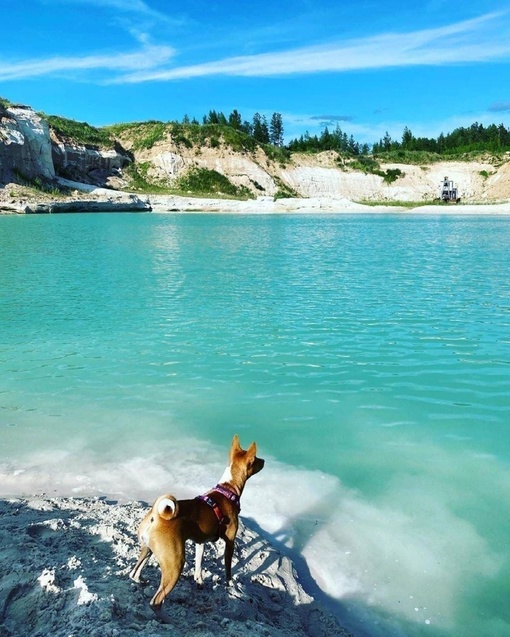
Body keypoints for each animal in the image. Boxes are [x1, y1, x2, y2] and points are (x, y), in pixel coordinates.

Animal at [129, 432, 264, 608]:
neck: (228, 488)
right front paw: (230, 584)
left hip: (148, 550)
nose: (264, 461)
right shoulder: (230, 542)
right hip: (175, 564)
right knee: (156, 600)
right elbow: (228, 569)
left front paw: (199, 582)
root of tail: (157, 516)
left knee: (134, 573)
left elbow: (198, 566)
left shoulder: (200, 542)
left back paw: (140, 580)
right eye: (256, 459)